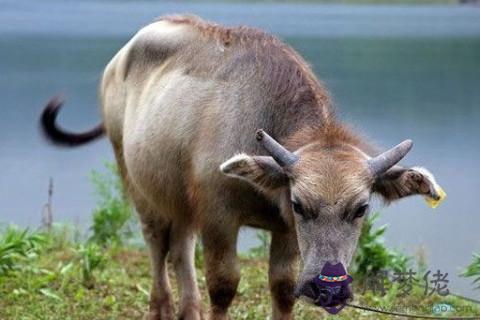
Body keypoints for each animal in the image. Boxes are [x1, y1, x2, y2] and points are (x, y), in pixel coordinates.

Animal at [41, 13, 442, 318]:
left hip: (182, 197)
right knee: (156, 241)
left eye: (361, 208)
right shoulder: (219, 216)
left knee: (181, 247)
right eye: (300, 205)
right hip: (133, 175)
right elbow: (223, 285)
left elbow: (282, 288)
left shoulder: (283, 231)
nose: (328, 288)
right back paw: (161, 307)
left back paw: (189, 310)